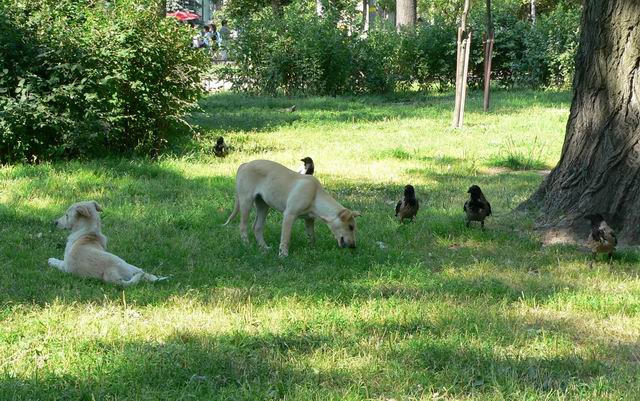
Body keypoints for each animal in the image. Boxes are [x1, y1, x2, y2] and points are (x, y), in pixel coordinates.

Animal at [224, 158, 360, 255]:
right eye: (351, 227)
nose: (354, 246)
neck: (315, 195)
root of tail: (245, 164)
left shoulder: (309, 219)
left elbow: (312, 235)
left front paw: (312, 250)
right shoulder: (289, 215)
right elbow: (286, 237)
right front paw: (283, 255)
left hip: (263, 205)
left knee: (257, 227)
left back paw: (264, 248)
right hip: (246, 201)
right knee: (243, 226)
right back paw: (247, 245)